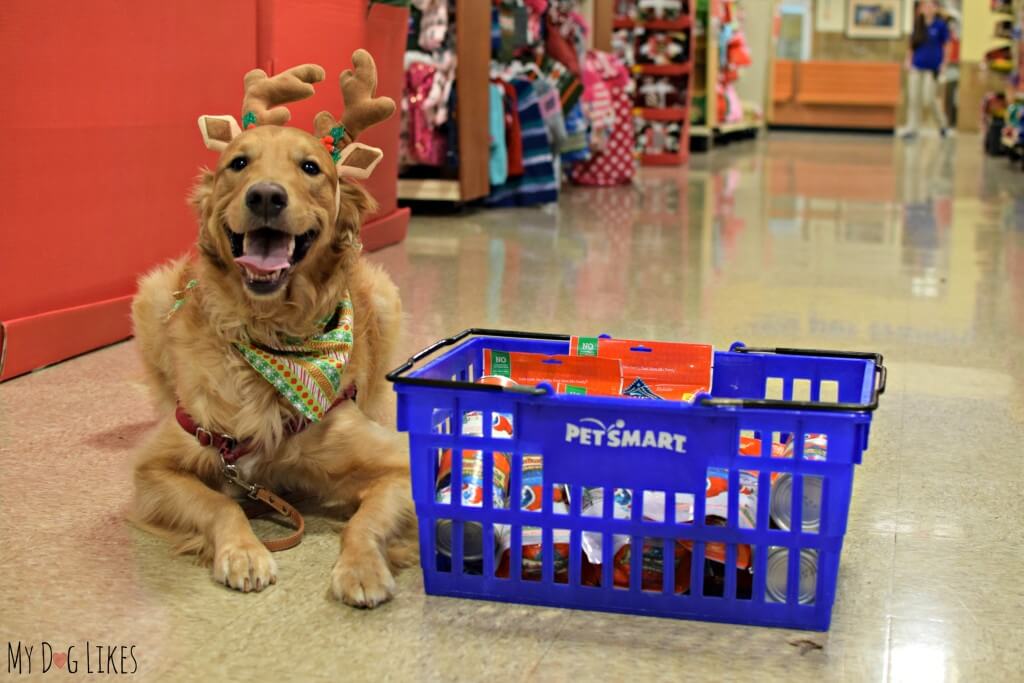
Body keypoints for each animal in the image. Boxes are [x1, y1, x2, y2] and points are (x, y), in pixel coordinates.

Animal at [130, 53, 413, 610]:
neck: (272, 335)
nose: (265, 196)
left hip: (387, 299)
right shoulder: (155, 468)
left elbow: (366, 521)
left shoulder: (401, 463)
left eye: (311, 168)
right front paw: (244, 552)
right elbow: (219, 504)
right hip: (151, 298)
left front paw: (362, 567)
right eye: (239, 164)